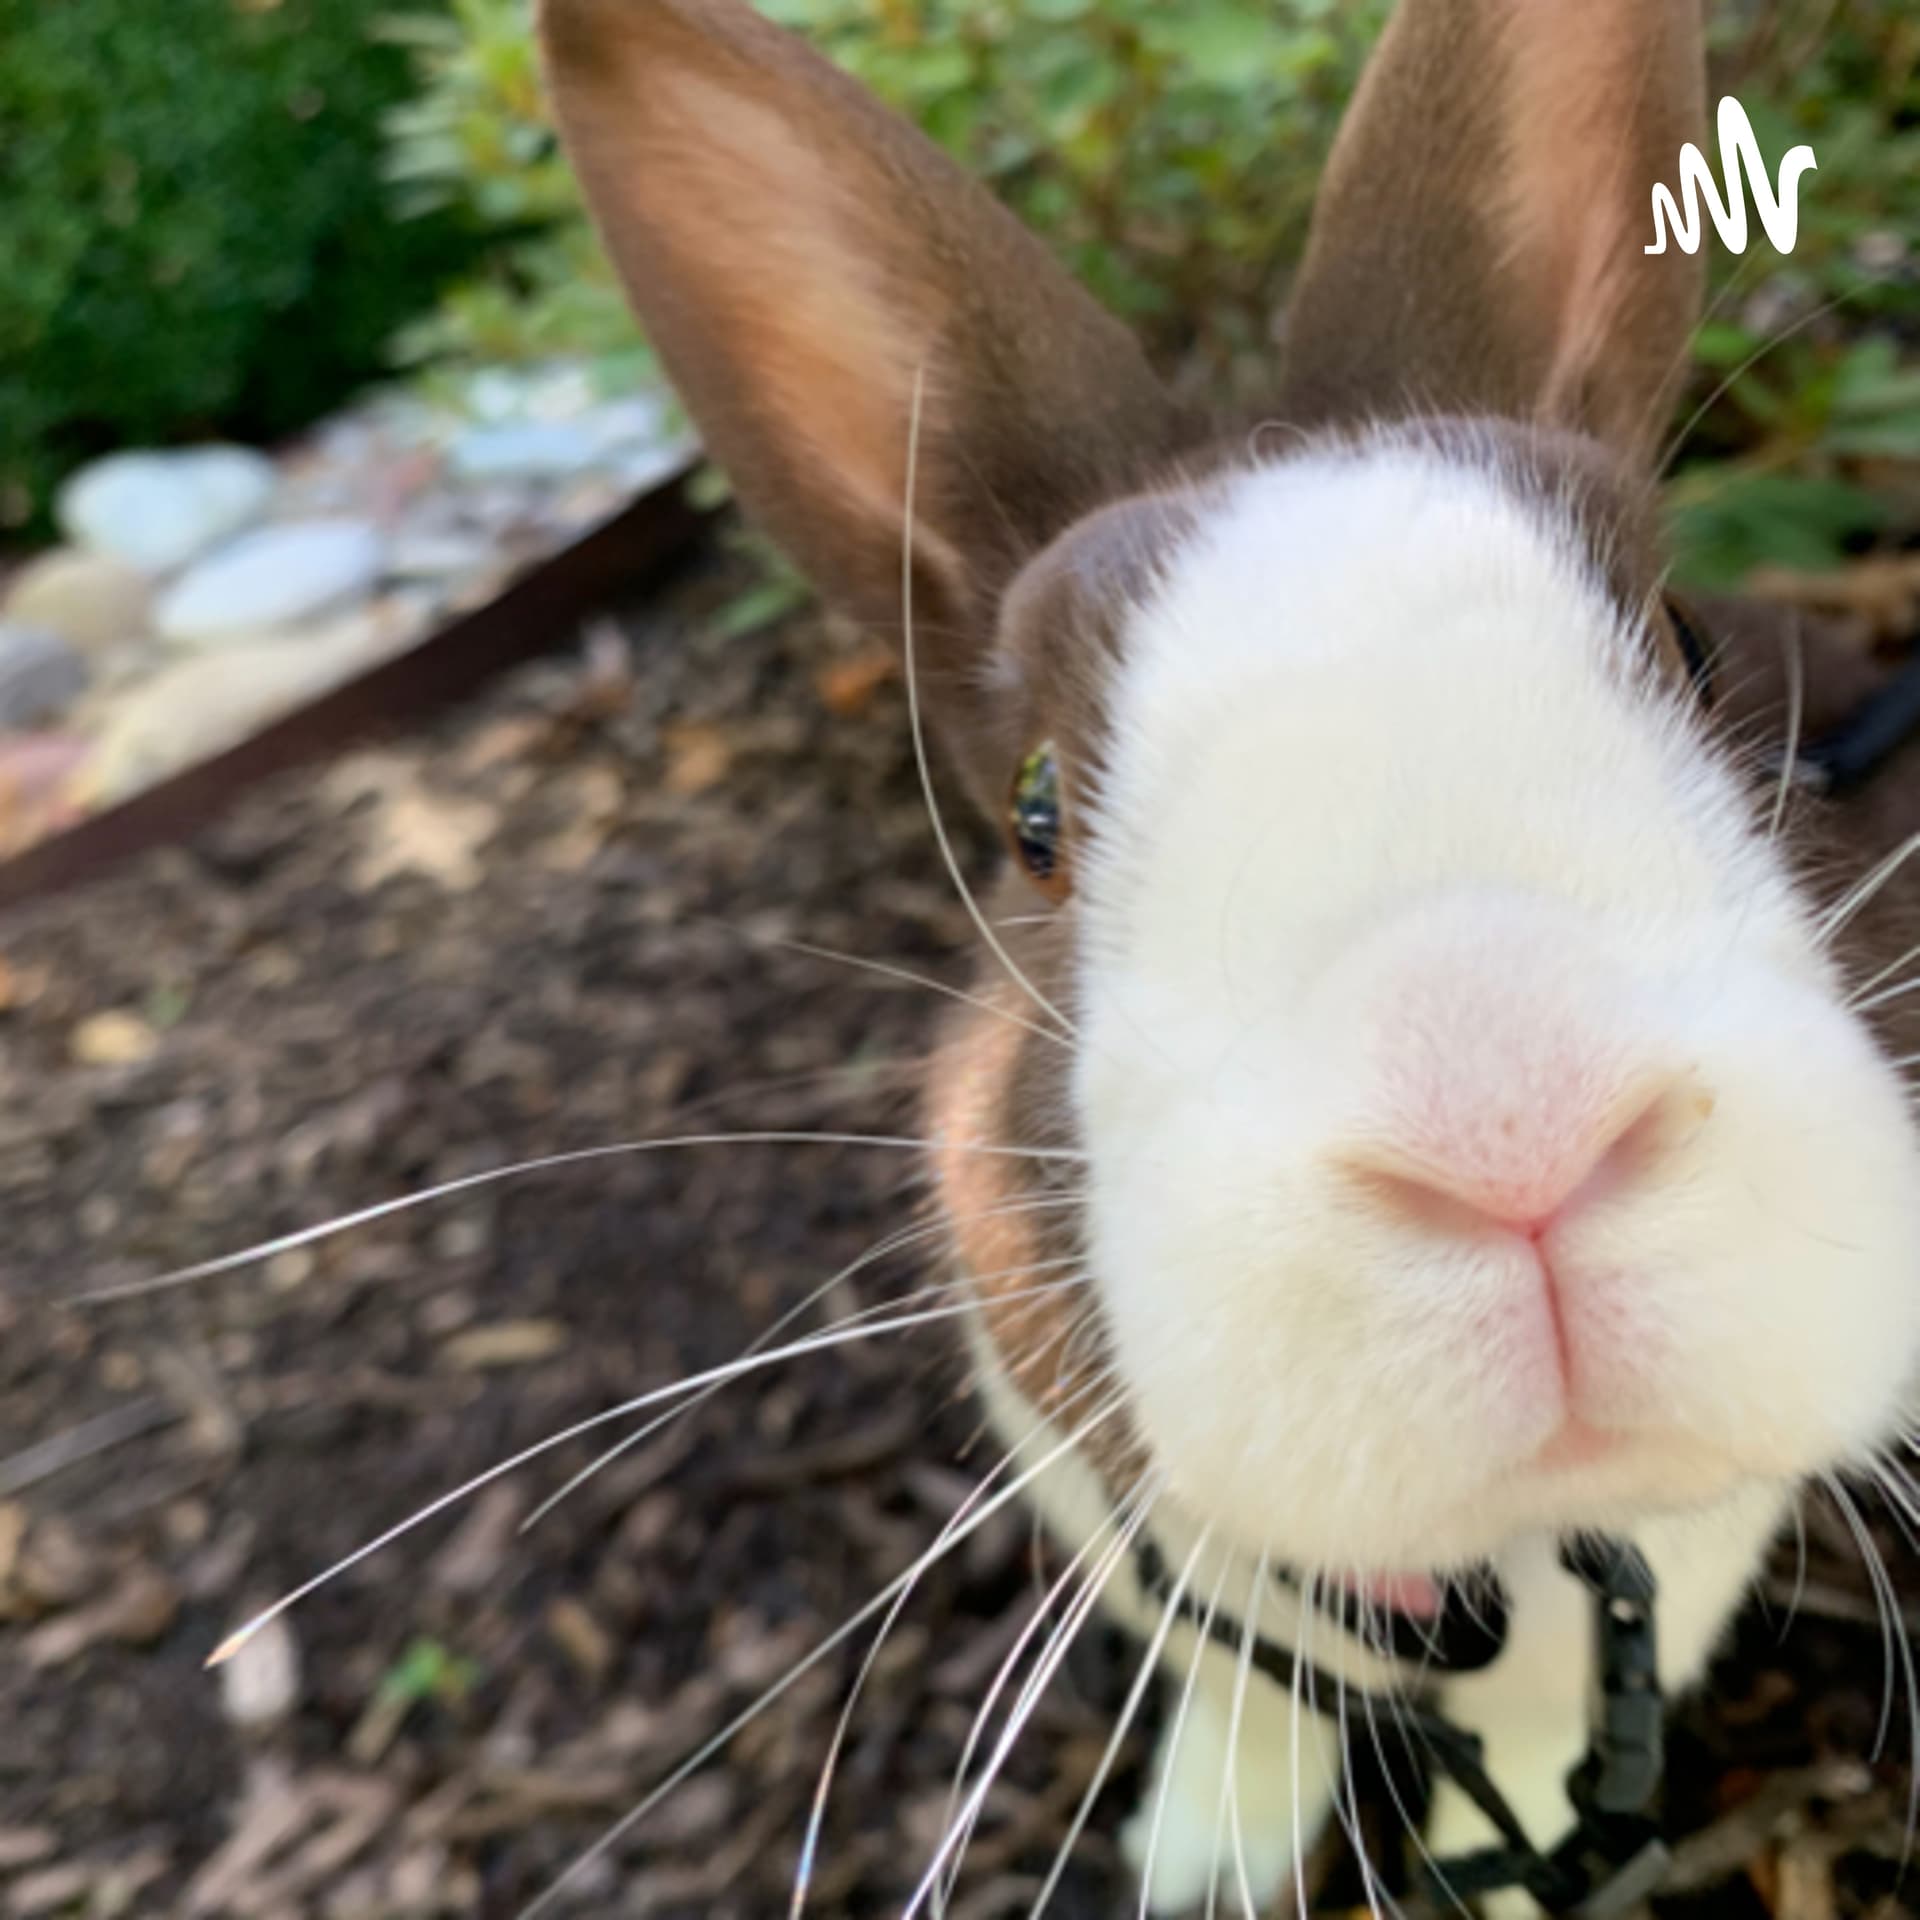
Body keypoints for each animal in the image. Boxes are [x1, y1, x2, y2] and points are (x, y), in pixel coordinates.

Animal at [536, 0, 1920, 1909]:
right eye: (1036, 816)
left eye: (1686, 645)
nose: (1517, 1134)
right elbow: (1244, 1707)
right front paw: (1195, 1862)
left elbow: (1538, 1754)